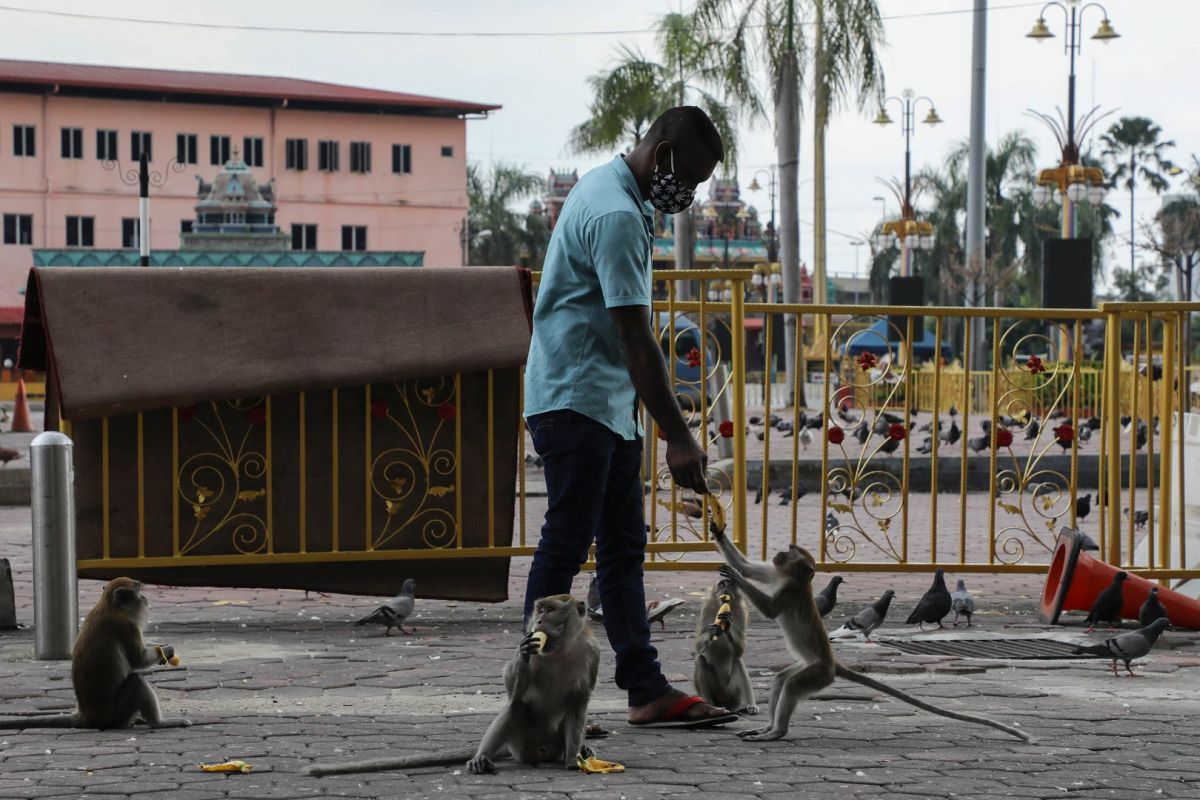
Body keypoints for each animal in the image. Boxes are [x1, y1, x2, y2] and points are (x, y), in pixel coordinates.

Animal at [0, 575, 188, 734]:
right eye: (139, 590)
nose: (145, 599)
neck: (109, 605)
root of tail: (86, 715)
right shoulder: (127, 626)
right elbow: (138, 660)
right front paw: (167, 650)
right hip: (116, 713)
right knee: (136, 682)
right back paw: (158, 723)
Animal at [300, 594, 600, 777]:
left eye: (550, 611)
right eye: (539, 609)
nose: (536, 621)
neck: (559, 650)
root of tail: (541, 752)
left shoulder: (592, 653)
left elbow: (579, 704)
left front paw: (573, 758)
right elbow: (515, 692)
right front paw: (523, 651)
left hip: (551, 744)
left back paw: (577, 751)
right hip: (522, 746)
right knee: (516, 707)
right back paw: (482, 758)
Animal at [691, 578, 753, 714]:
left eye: (731, 584)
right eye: (722, 584)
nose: (726, 588)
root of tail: (722, 697)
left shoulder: (742, 611)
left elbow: (740, 650)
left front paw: (728, 625)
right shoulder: (706, 608)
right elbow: (698, 647)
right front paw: (711, 632)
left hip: (733, 693)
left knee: (738, 660)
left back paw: (750, 705)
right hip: (715, 691)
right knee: (700, 660)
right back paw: (710, 706)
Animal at [710, 532, 1032, 743]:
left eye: (790, 552)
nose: (779, 553)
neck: (792, 578)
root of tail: (833, 663)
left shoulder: (788, 590)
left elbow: (768, 609)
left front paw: (736, 578)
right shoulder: (777, 575)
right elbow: (750, 566)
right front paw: (718, 530)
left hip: (819, 673)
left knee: (791, 685)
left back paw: (777, 732)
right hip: (812, 667)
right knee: (781, 680)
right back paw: (767, 728)